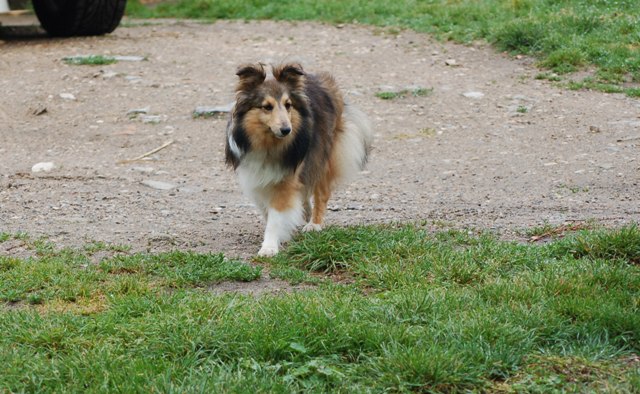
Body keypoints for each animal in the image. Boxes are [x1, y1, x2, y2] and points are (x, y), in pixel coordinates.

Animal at [226, 63, 372, 258]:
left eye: (288, 105)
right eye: (267, 107)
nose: (286, 130)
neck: (269, 144)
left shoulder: (286, 178)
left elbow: (276, 215)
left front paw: (269, 247)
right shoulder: (255, 177)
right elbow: (267, 210)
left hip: (322, 156)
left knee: (321, 193)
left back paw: (314, 224)